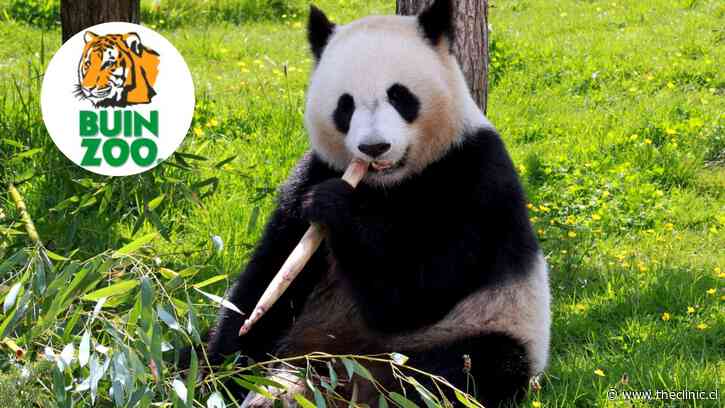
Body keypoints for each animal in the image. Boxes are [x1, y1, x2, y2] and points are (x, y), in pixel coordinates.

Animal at [206, 0, 551, 406]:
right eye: (345, 106)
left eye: (400, 96)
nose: (374, 147)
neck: (385, 184)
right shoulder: (314, 170)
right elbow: (269, 277)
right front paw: (222, 370)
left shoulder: (474, 178)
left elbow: (412, 294)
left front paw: (334, 206)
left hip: (486, 325)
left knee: (470, 368)